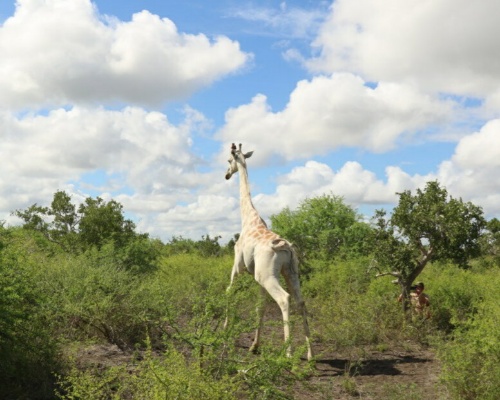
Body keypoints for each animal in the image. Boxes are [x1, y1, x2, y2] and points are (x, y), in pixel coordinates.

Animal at [226, 143, 312, 360]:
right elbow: (260, 307)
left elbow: (229, 292)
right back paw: (310, 354)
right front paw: (254, 346)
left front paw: (224, 331)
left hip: (268, 275)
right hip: (290, 272)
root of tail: (286, 247)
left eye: (229, 160)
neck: (248, 218)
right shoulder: (257, 277)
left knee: (284, 299)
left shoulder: (238, 267)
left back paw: (288, 354)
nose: (226, 175)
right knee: (300, 301)